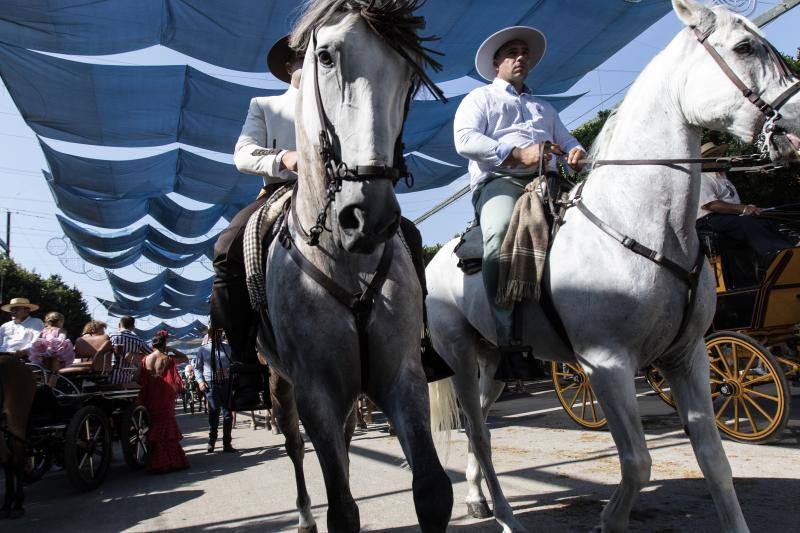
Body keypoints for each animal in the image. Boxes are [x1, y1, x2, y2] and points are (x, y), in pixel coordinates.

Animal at [260, 1, 450, 532]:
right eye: (326, 56)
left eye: (409, 76)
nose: (369, 216)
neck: (347, 260)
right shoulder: (315, 391)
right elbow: (342, 509)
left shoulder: (402, 375)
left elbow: (432, 490)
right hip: (280, 383)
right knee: (296, 447)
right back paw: (304, 515)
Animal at [428, 1, 800, 532]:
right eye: (745, 47)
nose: (797, 121)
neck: (641, 223)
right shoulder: (606, 364)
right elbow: (638, 462)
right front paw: (609, 519)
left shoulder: (688, 356)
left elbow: (714, 461)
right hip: (458, 354)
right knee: (477, 431)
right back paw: (505, 516)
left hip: (495, 361)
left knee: (480, 428)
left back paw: (478, 498)